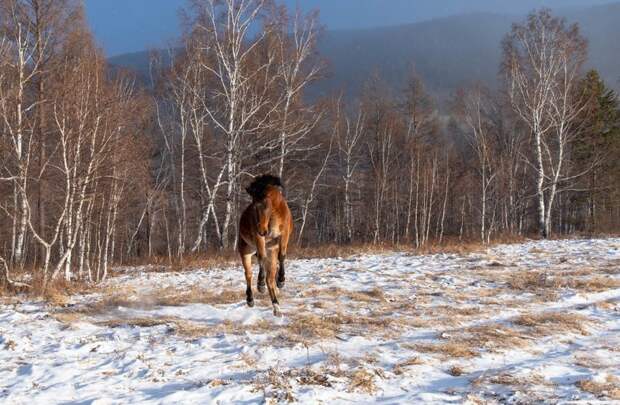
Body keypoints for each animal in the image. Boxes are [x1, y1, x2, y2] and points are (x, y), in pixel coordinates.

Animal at [239, 174, 294, 316]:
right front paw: (260, 284)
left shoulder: (284, 235)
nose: (262, 230)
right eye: (253, 206)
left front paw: (281, 280)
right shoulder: (259, 239)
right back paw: (251, 299)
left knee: (270, 278)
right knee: (248, 274)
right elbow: (261, 258)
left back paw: (276, 307)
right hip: (246, 251)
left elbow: (282, 255)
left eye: (265, 204)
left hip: (271, 252)